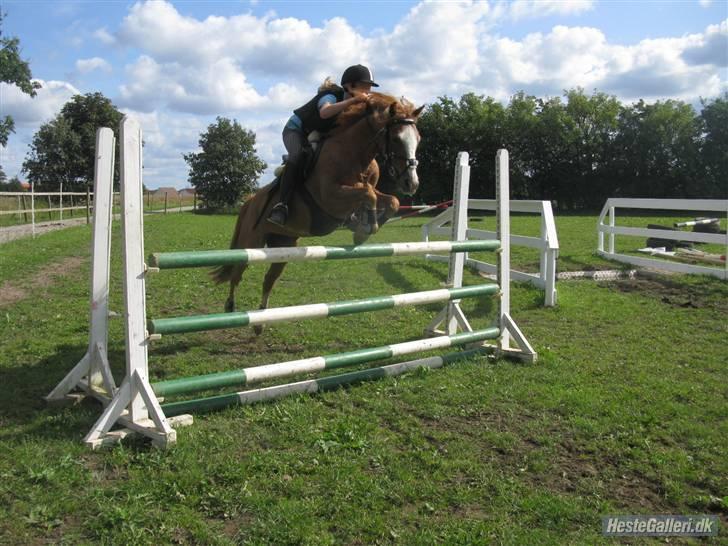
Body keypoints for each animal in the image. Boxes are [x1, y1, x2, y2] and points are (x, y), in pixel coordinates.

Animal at [210, 91, 424, 320]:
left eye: (418, 138)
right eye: (396, 138)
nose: (411, 183)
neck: (354, 154)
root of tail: (249, 201)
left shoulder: (367, 190)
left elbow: (390, 200)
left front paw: (362, 229)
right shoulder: (330, 197)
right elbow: (368, 195)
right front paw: (366, 228)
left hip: (284, 245)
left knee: (269, 279)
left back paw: (261, 320)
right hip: (252, 242)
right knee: (236, 273)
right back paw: (230, 307)